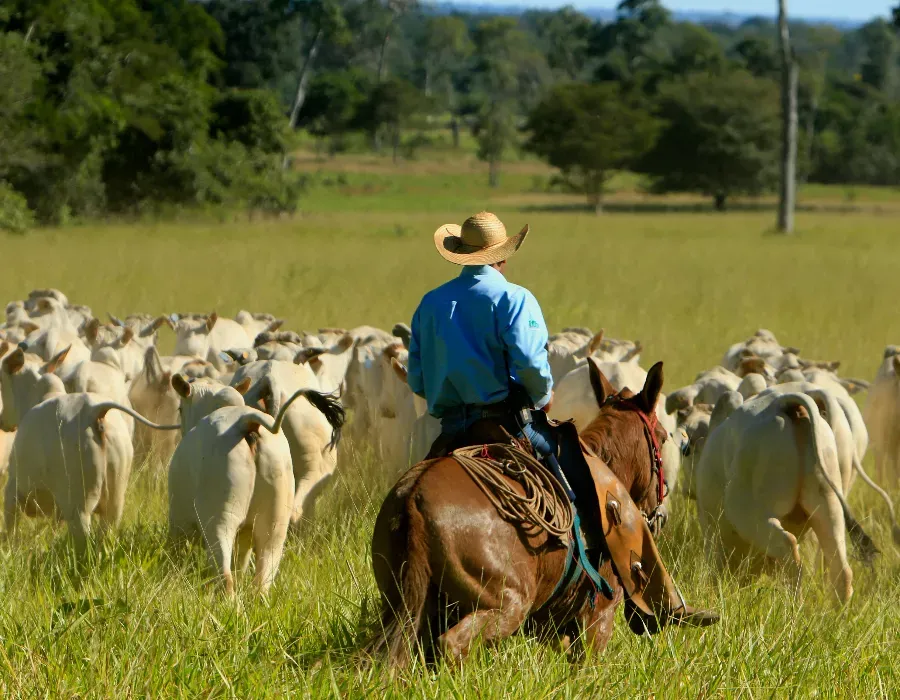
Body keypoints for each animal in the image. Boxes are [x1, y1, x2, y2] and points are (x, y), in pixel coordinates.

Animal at [364, 360, 668, 668]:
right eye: (664, 438)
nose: (659, 512)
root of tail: (415, 499)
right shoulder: (598, 619)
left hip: (404, 604)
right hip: (507, 603)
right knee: (453, 644)